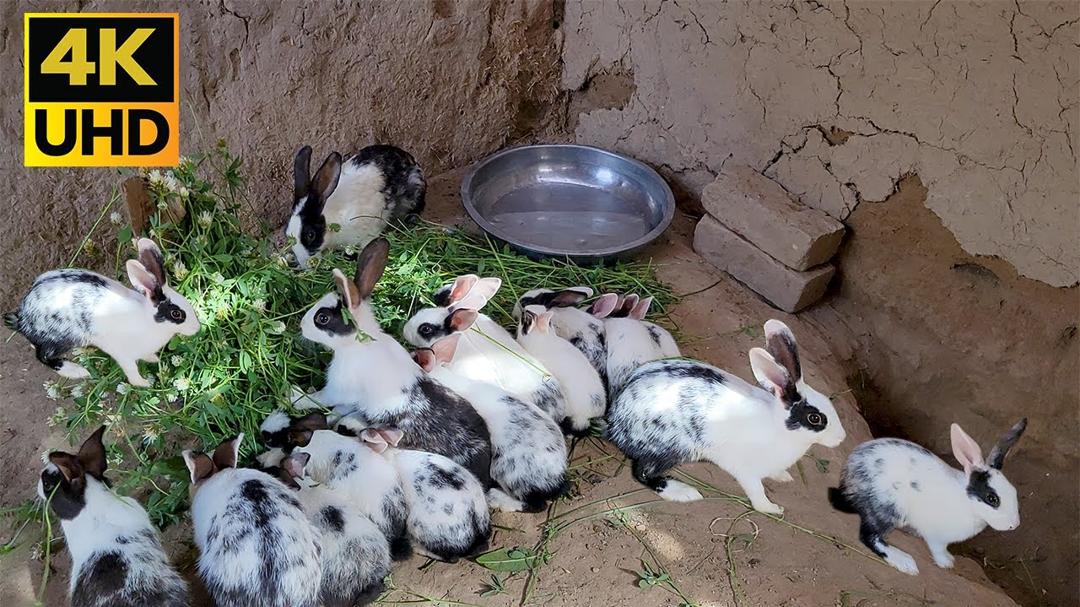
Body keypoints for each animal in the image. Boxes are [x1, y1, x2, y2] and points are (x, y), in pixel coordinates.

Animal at [5, 238, 199, 387]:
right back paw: (78, 371)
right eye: (176, 314)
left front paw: (154, 359)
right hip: (60, 339)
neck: (148, 321)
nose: (197, 328)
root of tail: (23, 319)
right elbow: (132, 371)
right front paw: (145, 384)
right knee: (42, 356)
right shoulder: (124, 355)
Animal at [297, 238, 494, 487]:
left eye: (322, 318)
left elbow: (318, 398)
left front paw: (293, 397)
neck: (358, 346)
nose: (301, 325)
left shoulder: (337, 389)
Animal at [605, 319, 846, 514]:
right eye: (815, 419)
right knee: (641, 473)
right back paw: (685, 492)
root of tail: (616, 419)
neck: (778, 427)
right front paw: (773, 509)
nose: (841, 438)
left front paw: (784, 477)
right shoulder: (747, 471)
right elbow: (757, 493)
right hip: (670, 449)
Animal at [828, 419, 1028, 575]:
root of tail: (848, 478)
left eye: (1014, 492)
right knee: (869, 537)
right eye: (992, 498)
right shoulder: (936, 537)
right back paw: (906, 562)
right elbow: (938, 549)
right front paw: (947, 563)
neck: (966, 503)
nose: (1015, 524)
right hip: (889, 508)